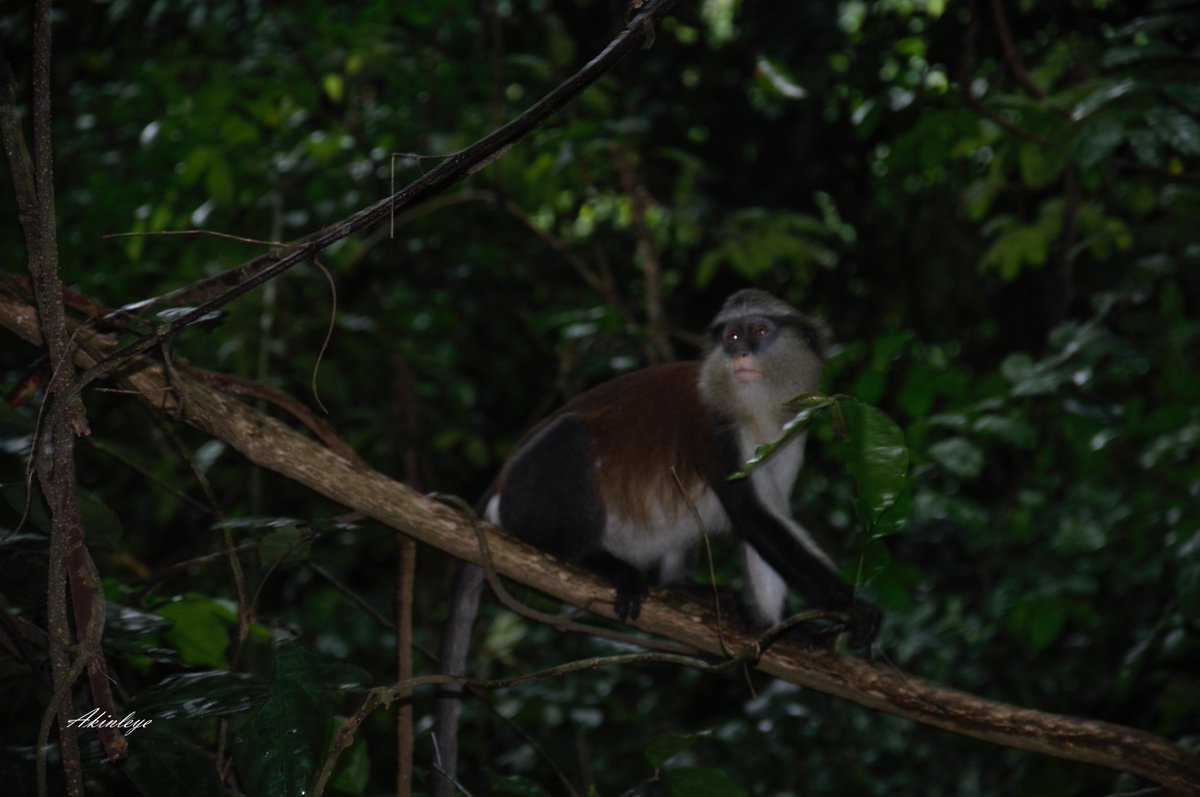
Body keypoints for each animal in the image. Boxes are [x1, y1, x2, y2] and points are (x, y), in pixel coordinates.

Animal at [434, 291, 883, 797]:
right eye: (731, 335)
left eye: (759, 331)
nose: (740, 353)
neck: (757, 408)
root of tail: (495, 493)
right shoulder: (717, 430)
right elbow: (754, 519)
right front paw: (855, 609)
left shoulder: (790, 434)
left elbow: (770, 520)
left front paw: (781, 628)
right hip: (528, 504)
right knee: (569, 434)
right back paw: (595, 561)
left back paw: (679, 586)